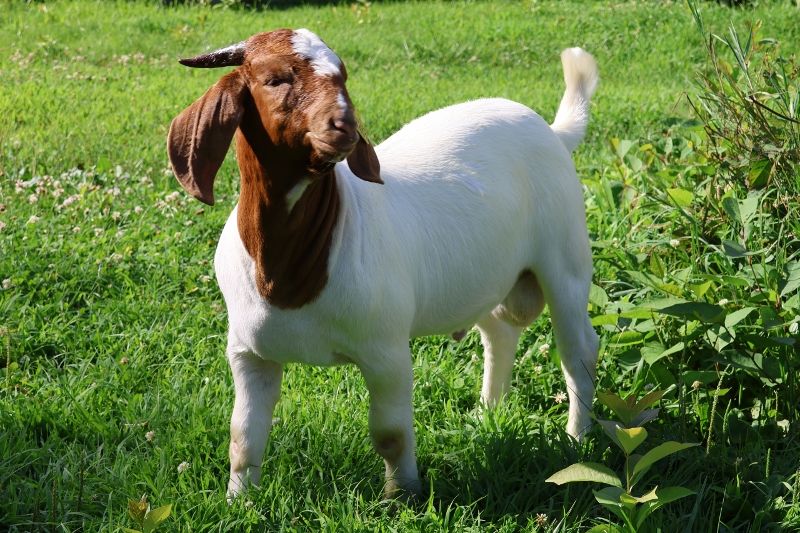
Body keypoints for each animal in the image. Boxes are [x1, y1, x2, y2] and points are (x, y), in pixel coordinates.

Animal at [168, 28, 599, 500]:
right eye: (275, 79)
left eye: (342, 76)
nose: (345, 126)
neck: (289, 272)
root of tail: (554, 133)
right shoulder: (248, 353)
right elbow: (243, 435)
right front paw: (240, 499)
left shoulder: (386, 351)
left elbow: (390, 433)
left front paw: (402, 495)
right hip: (485, 277)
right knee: (499, 332)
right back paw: (486, 415)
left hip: (566, 262)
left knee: (578, 351)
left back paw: (577, 440)